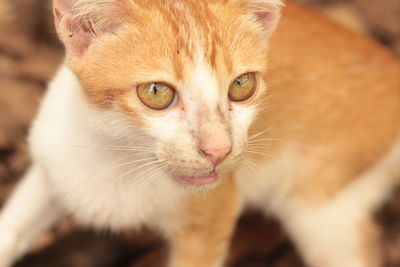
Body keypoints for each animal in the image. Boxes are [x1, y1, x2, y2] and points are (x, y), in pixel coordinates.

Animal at [0, 0, 282, 267]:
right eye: (156, 92)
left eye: (242, 85)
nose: (218, 150)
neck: (118, 156)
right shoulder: (52, 154)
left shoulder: (214, 211)